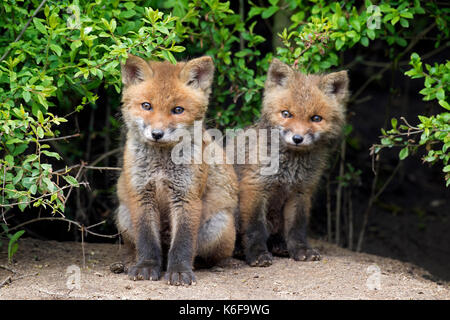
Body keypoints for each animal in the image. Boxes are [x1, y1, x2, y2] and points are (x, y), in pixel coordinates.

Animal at [114, 55, 237, 284]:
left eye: (178, 110)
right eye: (147, 106)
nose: (157, 134)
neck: (161, 167)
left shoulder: (187, 195)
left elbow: (183, 243)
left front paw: (180, 271)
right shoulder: (141, 194)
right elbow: (146, 240)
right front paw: (146, 266)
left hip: (218, 225)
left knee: (208, 255)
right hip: (124, 215)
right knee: (138, 247)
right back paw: (128, 263)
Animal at [237, 58, 350, 266]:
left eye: (316, 118)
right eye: (286, 114)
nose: (298, 138)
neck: (290, 169)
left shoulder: (300, 192)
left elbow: (296, 229)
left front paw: (301, 251)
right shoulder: (254, 187)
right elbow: (254, 228)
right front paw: (257, 254)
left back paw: (280, 246)